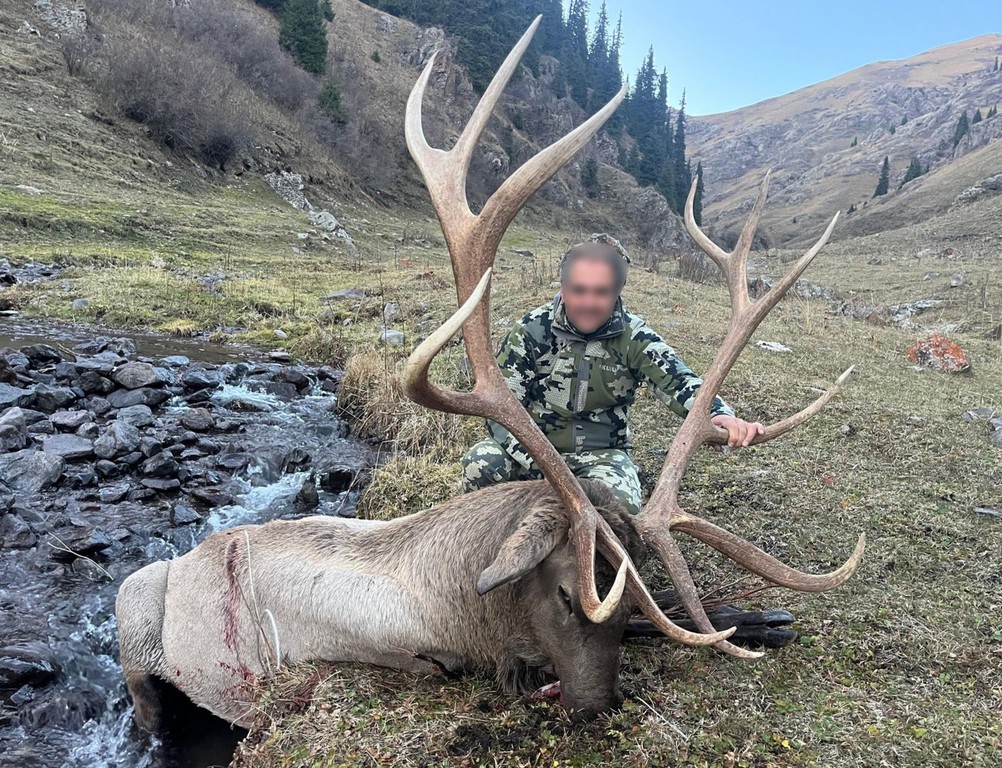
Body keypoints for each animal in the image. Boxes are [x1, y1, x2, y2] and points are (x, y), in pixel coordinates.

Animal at [115, 17, 865, 730]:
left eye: (633, 596)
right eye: (565, 592)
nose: (595, 707)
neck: (453, 597)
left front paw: (753, 618)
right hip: (133, 600)